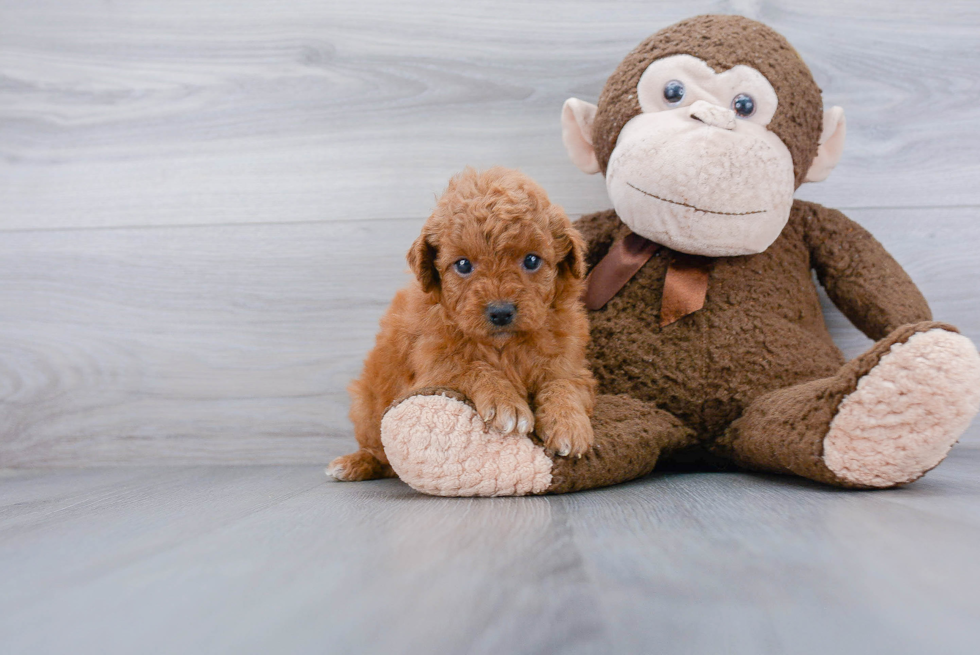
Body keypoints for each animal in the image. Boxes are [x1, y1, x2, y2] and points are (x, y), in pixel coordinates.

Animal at [328, 168, 596, 482]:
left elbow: (562, 383)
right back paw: (353, 463)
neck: (504, 346)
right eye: (464, 265)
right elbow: (470, 366)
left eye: (531, 260)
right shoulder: (432, 368)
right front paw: (505, 401)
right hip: (366, 407)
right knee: (378, 453)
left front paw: (569, 423)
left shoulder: (570, 363)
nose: (500, 312)